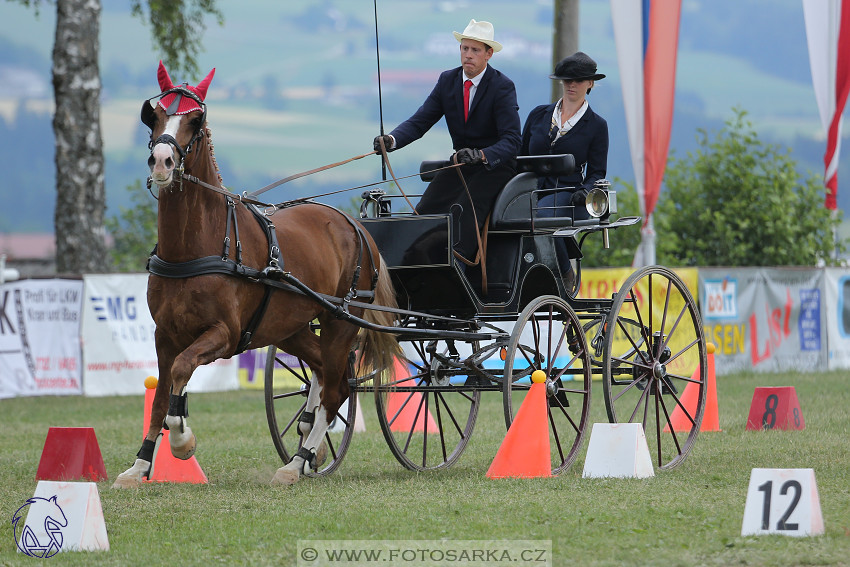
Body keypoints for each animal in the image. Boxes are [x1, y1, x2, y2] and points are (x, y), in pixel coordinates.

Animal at [112, 61, 398, 488]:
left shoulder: (224, 334)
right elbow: (161, 395)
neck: (196, 248)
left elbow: (181, 372)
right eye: (155, 115)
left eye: (195, 120)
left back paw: (297, 462)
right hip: (291, 327)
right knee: (325, 373)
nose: (162, 162)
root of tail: (354, 225)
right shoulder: (165, 335)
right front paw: (140, 465)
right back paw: (308, 447)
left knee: (337, 387)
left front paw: (182, 441)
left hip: (340, 321)